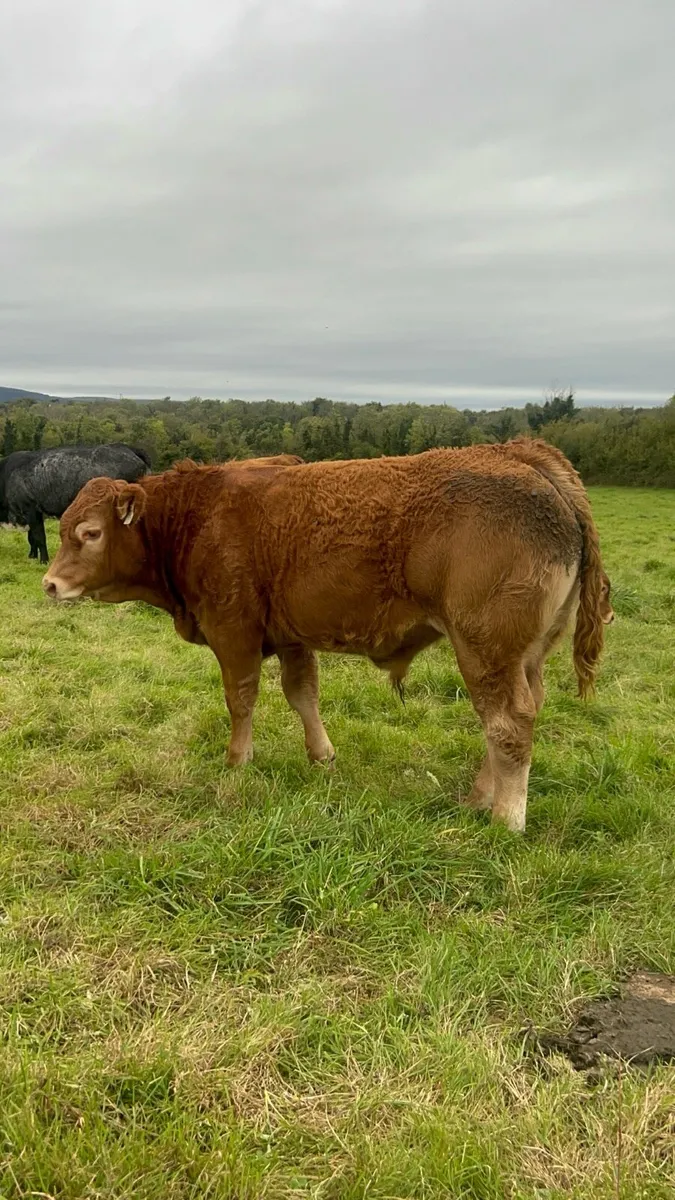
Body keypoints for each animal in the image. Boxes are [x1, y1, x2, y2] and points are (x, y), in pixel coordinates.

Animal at [0, 443, 151, 564]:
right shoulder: (34, 512)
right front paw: (32, 556)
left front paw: (44, 560)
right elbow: (32, 537)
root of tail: (128, 448)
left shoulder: (30, 508)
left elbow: (39, 537)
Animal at [42, 441, 607, 833]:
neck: (196, 515)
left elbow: (240, 698)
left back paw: (504, 818)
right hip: (524, 657)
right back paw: (477, 798)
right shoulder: (291, 635)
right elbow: (303, 694)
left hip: (485, 649)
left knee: (506, 722)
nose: (49, 583)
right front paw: (321, 757)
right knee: (517, 712)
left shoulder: (233, 630)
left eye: (90, 533)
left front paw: (237, 761)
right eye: (63, 527)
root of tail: (519, 455)